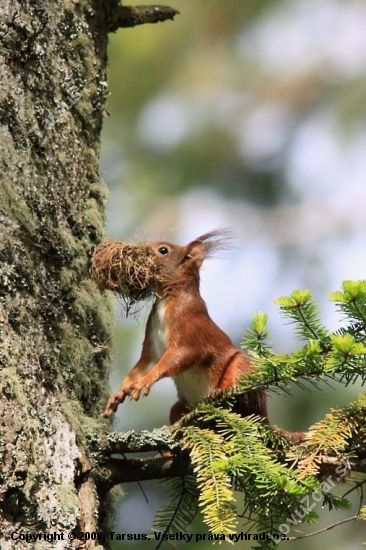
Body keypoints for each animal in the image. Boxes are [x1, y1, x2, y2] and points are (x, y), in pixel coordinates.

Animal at [101, 231, 268, 424]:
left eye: (163, 250)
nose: (138, 250)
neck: (166, 299)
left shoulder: (188, 322)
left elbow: (182, 355)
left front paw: (145, 381)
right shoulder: (152, 340)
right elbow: (146, 363)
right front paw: (121, 390)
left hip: (241, 370)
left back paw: (221, 392)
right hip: (180, 408)